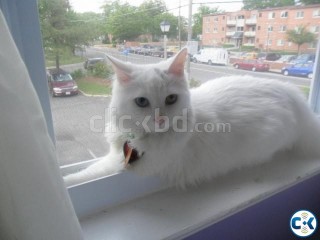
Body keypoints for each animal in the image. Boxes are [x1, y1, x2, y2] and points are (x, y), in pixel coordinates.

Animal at [63, 48, 318, 188]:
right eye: (142, 102)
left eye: (171, 99)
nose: (160, 120)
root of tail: (296, 99)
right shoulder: (115, 154)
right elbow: (90, 168)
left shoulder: (127, 165)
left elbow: (88, 174)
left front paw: (66, 182)